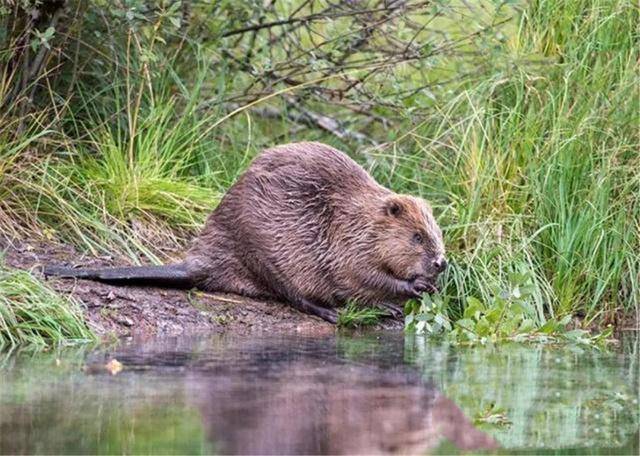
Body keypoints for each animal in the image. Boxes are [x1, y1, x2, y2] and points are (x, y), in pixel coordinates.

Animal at [45, 141, 444, 322]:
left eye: (435, 232)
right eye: (417, 237)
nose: (440, 262)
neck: (360, 218)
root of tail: (197, 264)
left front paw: (428, 287)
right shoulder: (345, 241)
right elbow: (358, 274)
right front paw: (413, 287)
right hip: (263, 249)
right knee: (293, 294)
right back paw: (335, 313)